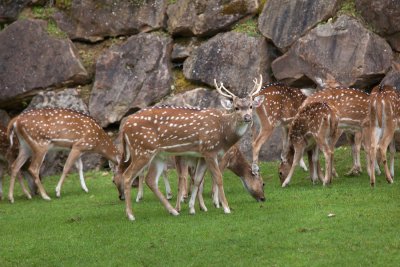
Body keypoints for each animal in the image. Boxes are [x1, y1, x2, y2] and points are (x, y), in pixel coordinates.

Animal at [111, 76, 266, 222]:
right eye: (236, 107)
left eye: (251, 106)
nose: (247, 117)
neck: (223, 134)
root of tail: (124, 127)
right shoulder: (210, 150)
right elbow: (218, 178)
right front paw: (225, 207)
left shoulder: (202, 155)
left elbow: (197, 180)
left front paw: (193, 208)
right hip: (142, 149)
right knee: (127, 176)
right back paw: (131, 215)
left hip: (157, 155)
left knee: (151, 179)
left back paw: (173, 211)